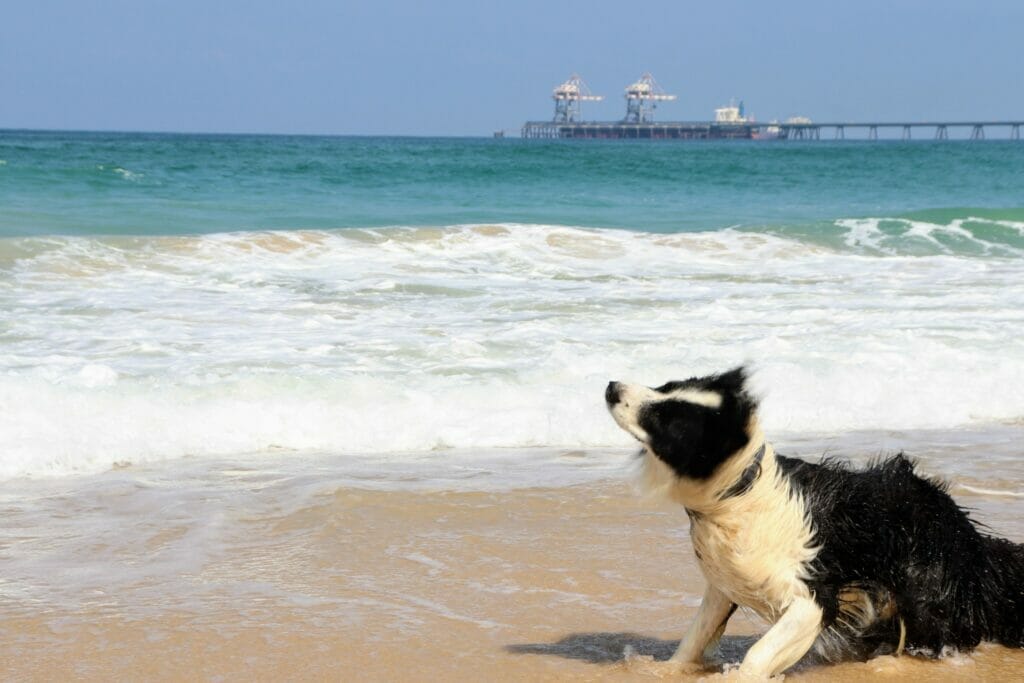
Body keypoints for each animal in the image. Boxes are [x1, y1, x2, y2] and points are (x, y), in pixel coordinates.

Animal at [602, 366, 1024, 675]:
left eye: (664, 417)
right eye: (666, 386)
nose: (611, 386)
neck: (738, 492)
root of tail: (972, 538)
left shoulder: (812, 596)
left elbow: (761, 650)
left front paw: (740, 675)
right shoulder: (725, 583)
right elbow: (694, 637)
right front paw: (662, 670)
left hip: (928, 592)